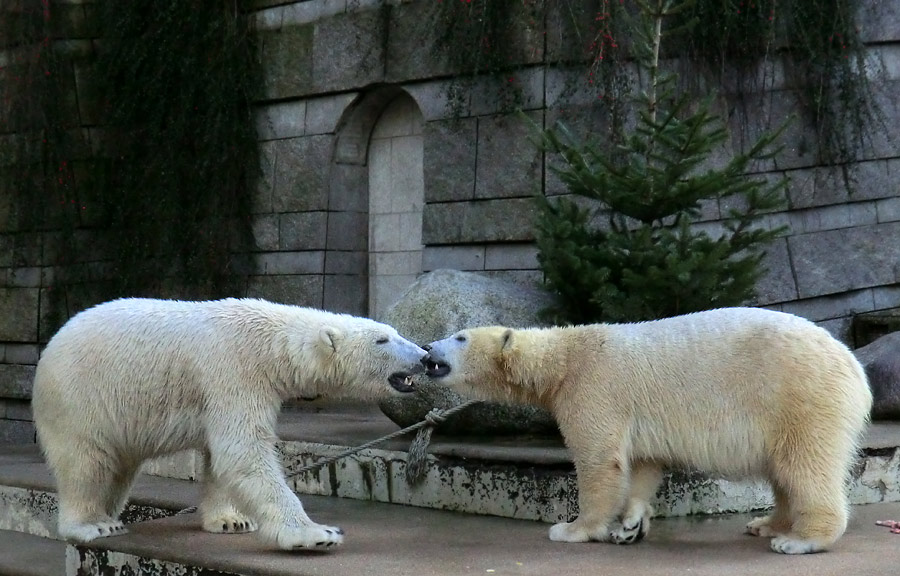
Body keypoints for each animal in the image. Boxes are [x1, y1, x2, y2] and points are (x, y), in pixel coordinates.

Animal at [33, 296, 428, 548]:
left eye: (394, 332)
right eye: (383, 339)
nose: (425, 355)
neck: (271, 342)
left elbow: (222, 457)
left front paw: (232, 521)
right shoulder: (234, 371)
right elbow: (243, 451)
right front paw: (317, 534)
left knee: (118, 467)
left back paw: (110, 514)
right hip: (82, 398)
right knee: (87, 463)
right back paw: (93, 524)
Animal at [426, 308, 876, 556]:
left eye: (460, 336)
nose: (429, 348)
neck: (564, 358)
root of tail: (856, 369)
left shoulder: (593, 388)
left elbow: (599, 460)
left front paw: (572, 529)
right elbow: (642, 463)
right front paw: (630, 524)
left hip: (800, 396)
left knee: (806, 465)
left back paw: (799, 540)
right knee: (782, 471)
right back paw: (768, 523)